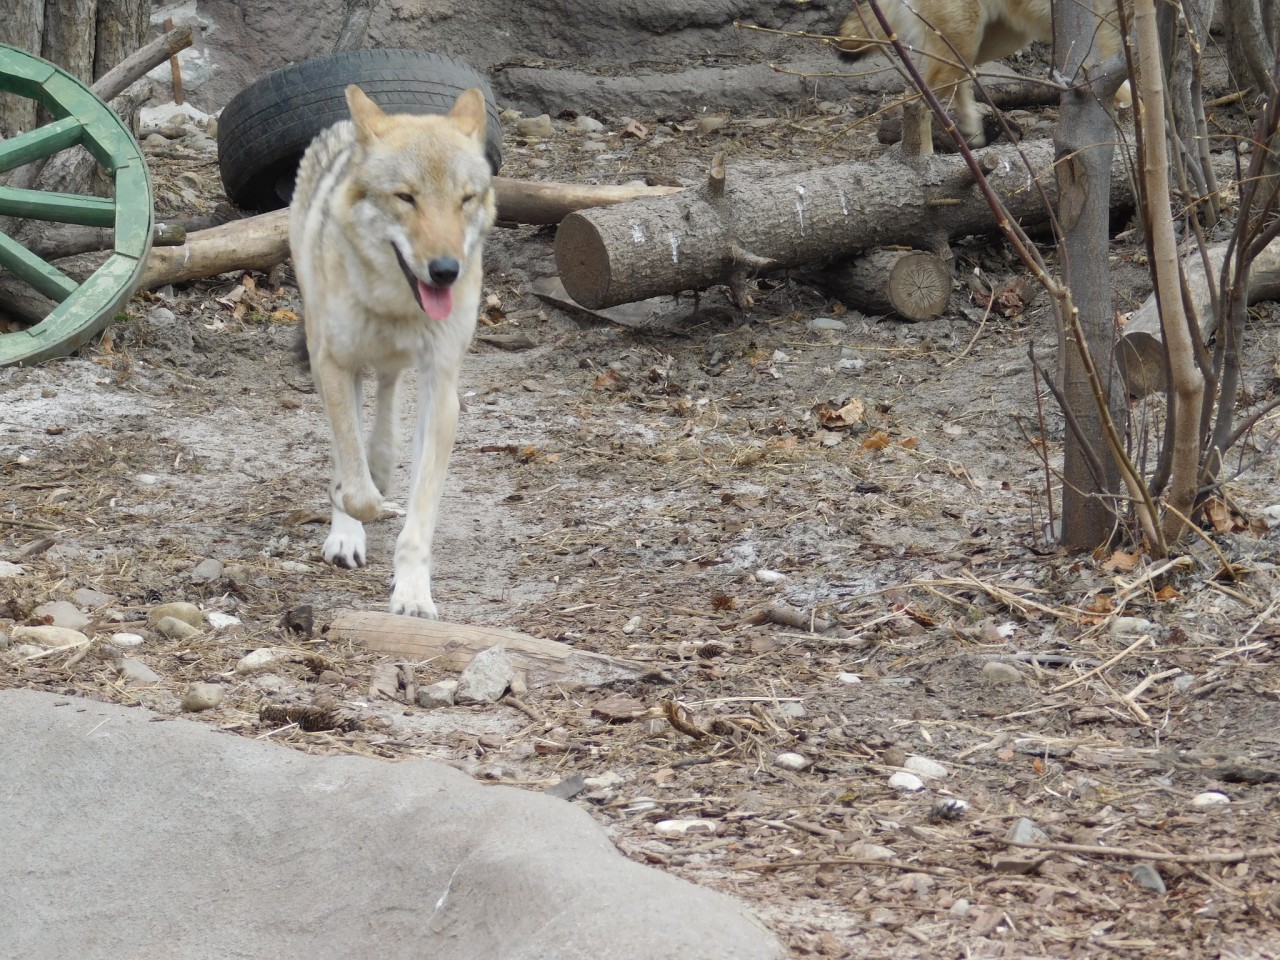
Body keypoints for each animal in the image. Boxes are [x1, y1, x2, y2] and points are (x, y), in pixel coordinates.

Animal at [290, 86, 494, 619]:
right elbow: (353, 479)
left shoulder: (442, 388)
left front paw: (413, 592)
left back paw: (381, 463)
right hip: (323, 353)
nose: (446, 270)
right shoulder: (334, 365)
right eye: (406, 197)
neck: (395, 305)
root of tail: (343, 126)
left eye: (464, 199)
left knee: (385, 392)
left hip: (394, 368)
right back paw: (349, 523)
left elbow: (421, 510)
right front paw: (349, 512)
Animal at [829, 0, 1121, 146]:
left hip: (984, 47)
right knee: (918, 99)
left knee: (951, 83)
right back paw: (924, 165)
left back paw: (971, 130)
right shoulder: (1106, 36)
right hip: (962, 50)